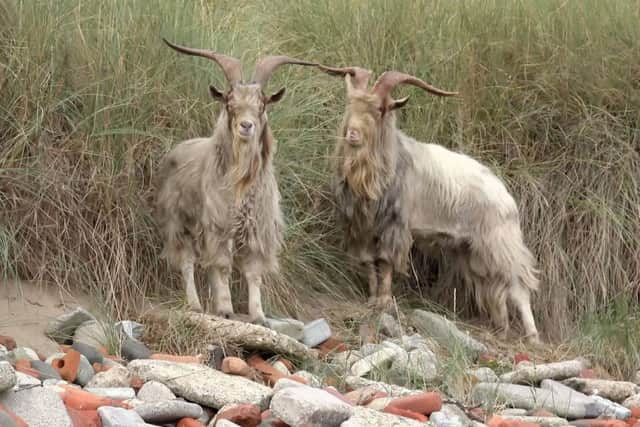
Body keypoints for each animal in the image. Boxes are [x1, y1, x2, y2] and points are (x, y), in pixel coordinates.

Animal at [154, 38, 315, 323]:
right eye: (230, 104)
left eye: (262, 105)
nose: (246, 126)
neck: (241, 183)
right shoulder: (219, 224)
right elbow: (222, 267)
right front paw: (226, 308)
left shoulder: (256, 229)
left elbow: (252, 273)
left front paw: (258, 314)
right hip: (178, 223)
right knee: (187, 262)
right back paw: (195, 305)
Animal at [317, 65, 540, 343]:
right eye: (351, 103)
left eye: (379, 109)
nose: (353, 135)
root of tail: (507, 197)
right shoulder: (361, 227)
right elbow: (370, 264)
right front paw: (371, 299)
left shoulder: (395, 225)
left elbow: (386, 263)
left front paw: (384, 301)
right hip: (473, 251)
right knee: (494, 287)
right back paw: (501, 329)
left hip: (500, 243)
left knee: (518, 286)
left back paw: (532, 335)